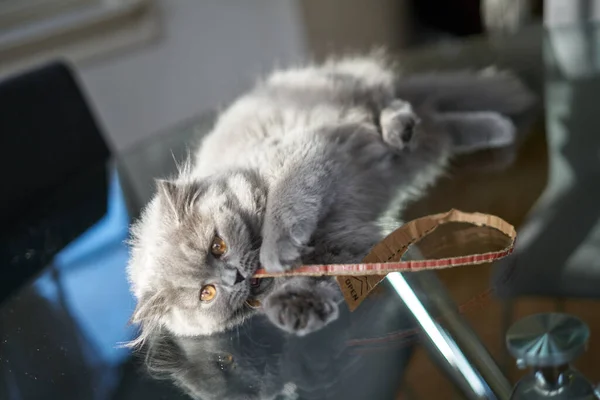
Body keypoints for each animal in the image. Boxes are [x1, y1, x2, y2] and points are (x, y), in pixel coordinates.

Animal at [125, 53, 536, 346]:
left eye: (217, 245)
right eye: (206, 294)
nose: (234, 276)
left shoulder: (304, 155)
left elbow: (285, 206)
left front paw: (277, 254)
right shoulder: (341, 243)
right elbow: (319, 279)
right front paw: (295, 310)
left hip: (361, 93)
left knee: (398, 105)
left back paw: (404, 128)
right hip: (422, 148)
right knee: (441, 126)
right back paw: (493, 128)